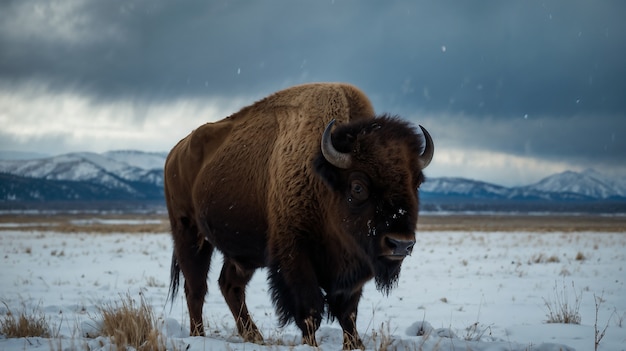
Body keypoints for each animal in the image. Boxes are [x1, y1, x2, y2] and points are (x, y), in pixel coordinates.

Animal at [163, 82, 432, 350]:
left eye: (417, 182)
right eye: (358, 187)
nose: (400, 243)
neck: (323, 177)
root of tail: (175, 152)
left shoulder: (353, 266)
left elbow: (348, 312)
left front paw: (356, 345)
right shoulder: (295, 256)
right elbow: (310, 310)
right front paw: (312, 345)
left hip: (245, 253)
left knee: (229, 285)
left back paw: (254, 336)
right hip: (189, 232)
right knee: (196, 287)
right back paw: (199, 336)